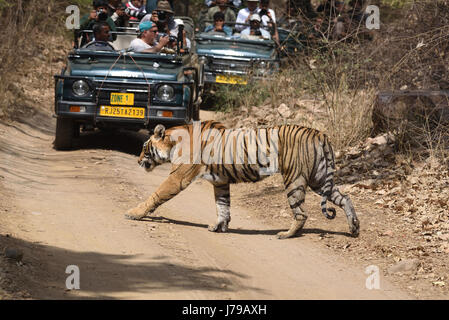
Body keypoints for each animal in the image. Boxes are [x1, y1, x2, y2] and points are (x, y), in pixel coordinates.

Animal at [126, 121, 360, 239]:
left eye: (144, 147)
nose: (137, 161)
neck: (174, 142)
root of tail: (320, 134)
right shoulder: (220, 182)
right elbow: (222, 205)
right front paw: (219, 226)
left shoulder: (178, 178)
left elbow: (155, 195)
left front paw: (134, 213)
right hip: (318, 179)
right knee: (345, 198)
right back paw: (354, 227)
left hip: (294, 179)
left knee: (302, 213)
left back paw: (286, 234)